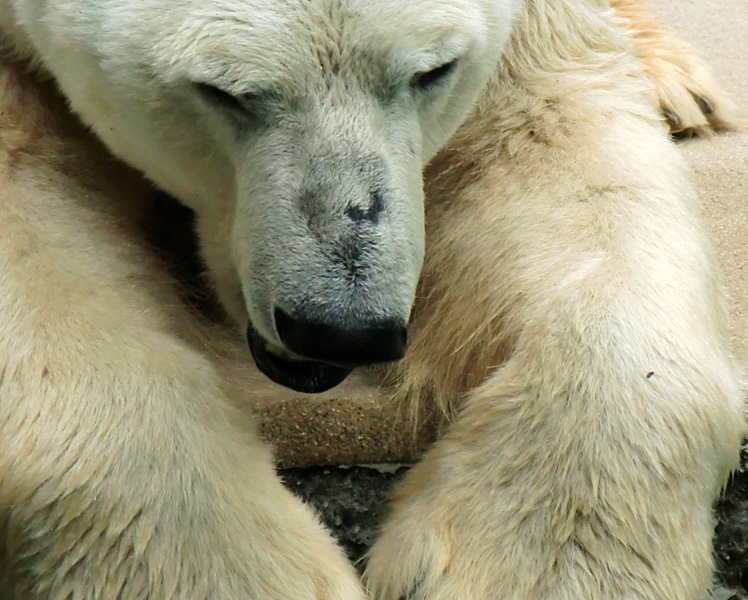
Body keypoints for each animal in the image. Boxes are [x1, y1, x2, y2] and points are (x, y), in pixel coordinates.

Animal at [0, 1, 744, 600]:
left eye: (433, 71)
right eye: (223, 91)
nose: (341, 330)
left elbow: (557, 141)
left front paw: (534, 566)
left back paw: (678, 82)